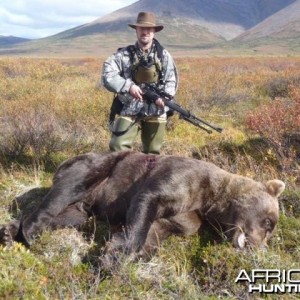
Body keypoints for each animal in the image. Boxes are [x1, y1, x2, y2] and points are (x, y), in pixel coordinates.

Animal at [0, 151, 286, 258]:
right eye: (269, 222)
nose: (257, 248)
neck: (211, 201)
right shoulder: (179, 179)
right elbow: (146, 203)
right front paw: (120, 251)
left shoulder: (186, 218)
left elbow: (157, 231)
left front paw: (115, 253)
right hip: (96, 168)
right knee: (66, 190)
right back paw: (29, 231)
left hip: (82, 209)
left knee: (69, 217)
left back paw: (10, 231)